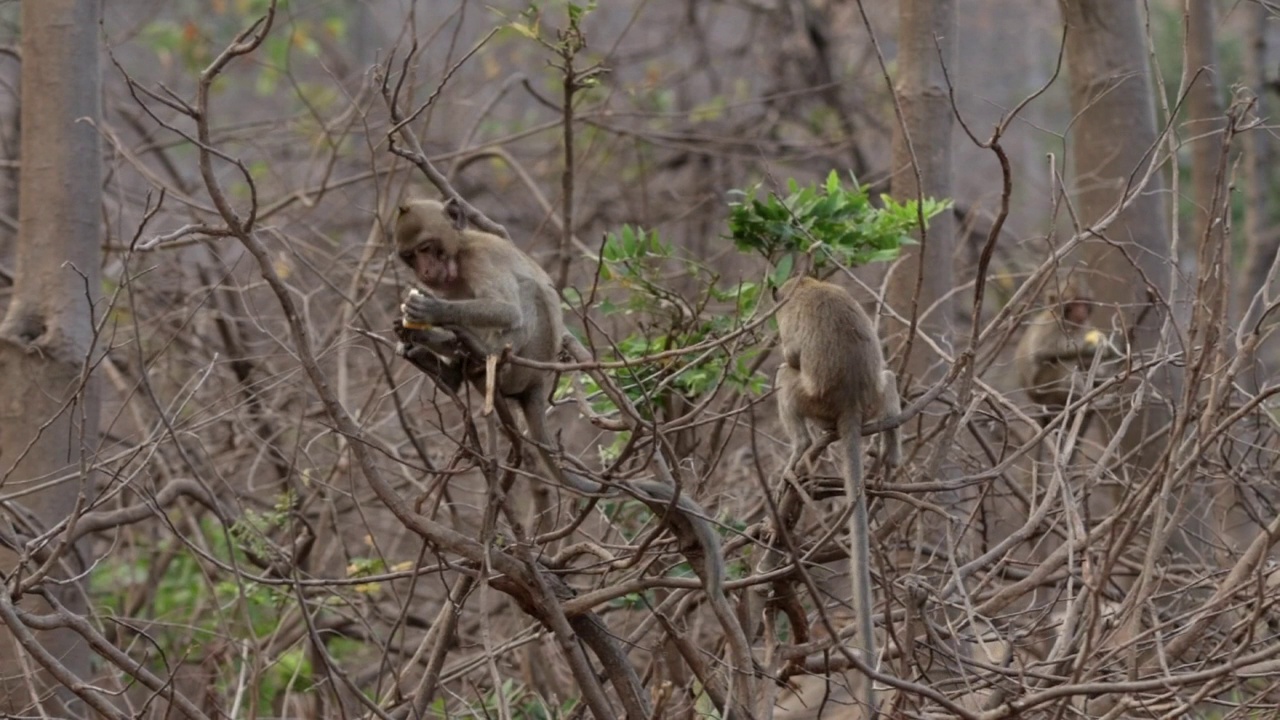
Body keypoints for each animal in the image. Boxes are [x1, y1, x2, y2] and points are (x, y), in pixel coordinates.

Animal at [768, 272, 901, 712]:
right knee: (889, 380)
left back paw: (800, 450)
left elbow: (790, 356)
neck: (807, 283)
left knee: (786, 376)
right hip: (874, 396)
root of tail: (851, 403)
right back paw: (891, 445)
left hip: (813, 399)